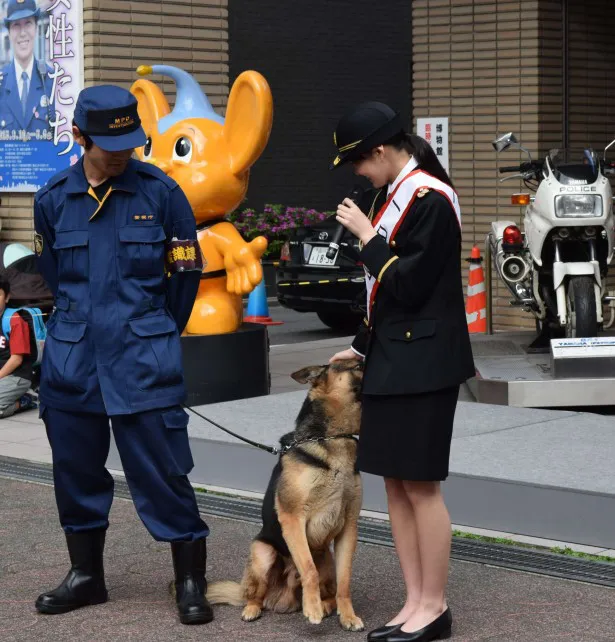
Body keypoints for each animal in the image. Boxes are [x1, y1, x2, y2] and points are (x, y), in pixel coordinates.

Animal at [207, 360, 366, 632]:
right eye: (357, 364)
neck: (332, 438)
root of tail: (281, 599)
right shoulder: (293, 520)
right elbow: (309, 570)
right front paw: (312, 609)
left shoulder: (349, 526)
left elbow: (344, 581)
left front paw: (347, 616)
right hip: (262, 554)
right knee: (255, 595)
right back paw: (254, 609)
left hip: (327, 561)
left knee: (331, 591)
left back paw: (326, 605)